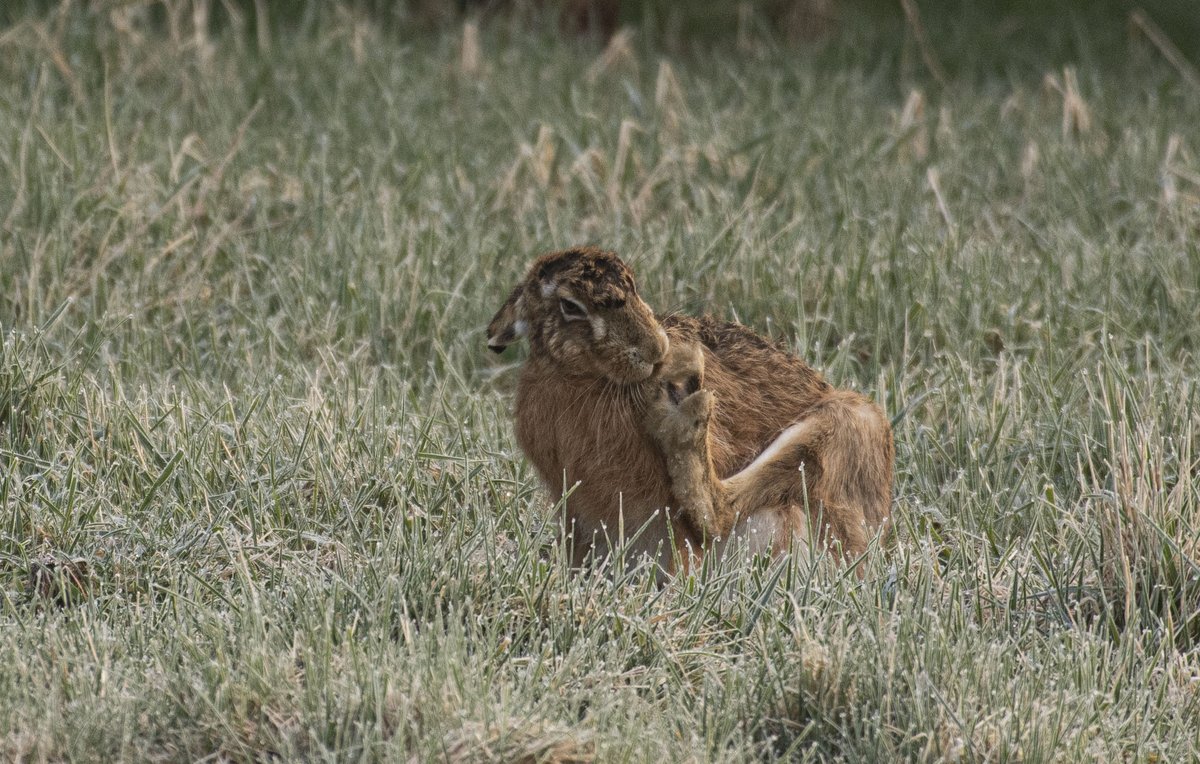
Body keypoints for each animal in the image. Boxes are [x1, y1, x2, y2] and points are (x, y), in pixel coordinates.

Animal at [487, 246, 893, 572]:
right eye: (570, 306)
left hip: (848, 424)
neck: (581, 377)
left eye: (634, 287)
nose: (656, 351)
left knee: (723, 512)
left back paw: (682, 419)